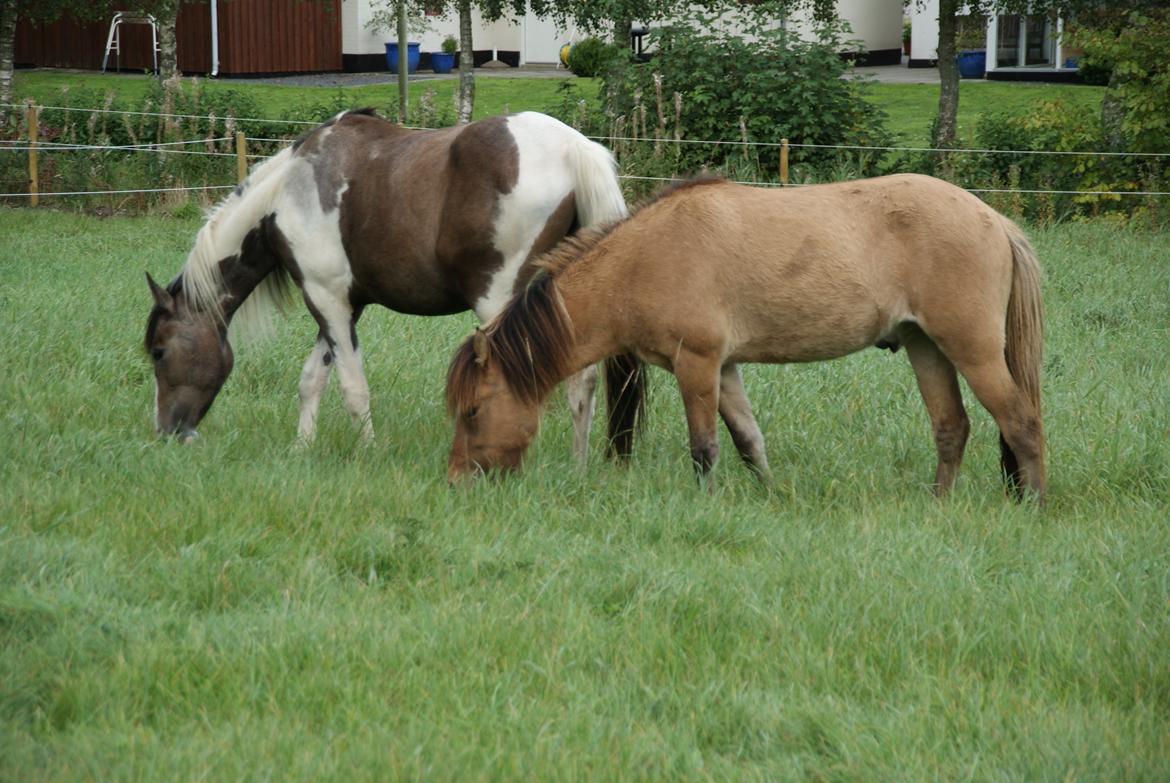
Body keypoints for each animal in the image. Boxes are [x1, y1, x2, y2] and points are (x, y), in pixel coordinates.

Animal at [143, 110, 631, 458]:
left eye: (159, 351)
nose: (168, 431)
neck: (288, 192)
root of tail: (574, 148)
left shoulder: (328, 301)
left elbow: (352, 387)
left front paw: (369, 452)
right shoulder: (344, 306)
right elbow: (311, 379)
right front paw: (301, 449)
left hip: (503, 306)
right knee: (582, 381)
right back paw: (578, 464)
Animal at [442, 172, 1048, 500]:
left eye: (473, 411)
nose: (457, 480)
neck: (643, 258)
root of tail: (994, 220)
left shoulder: (698, 365)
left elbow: (705, 448)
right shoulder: (726, 368)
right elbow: (749, 441)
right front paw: (772, 496)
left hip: (971, 349)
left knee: (1021, 423)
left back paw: (1035, 506)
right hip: (927, 348)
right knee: (952, 428)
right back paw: (938, 503)